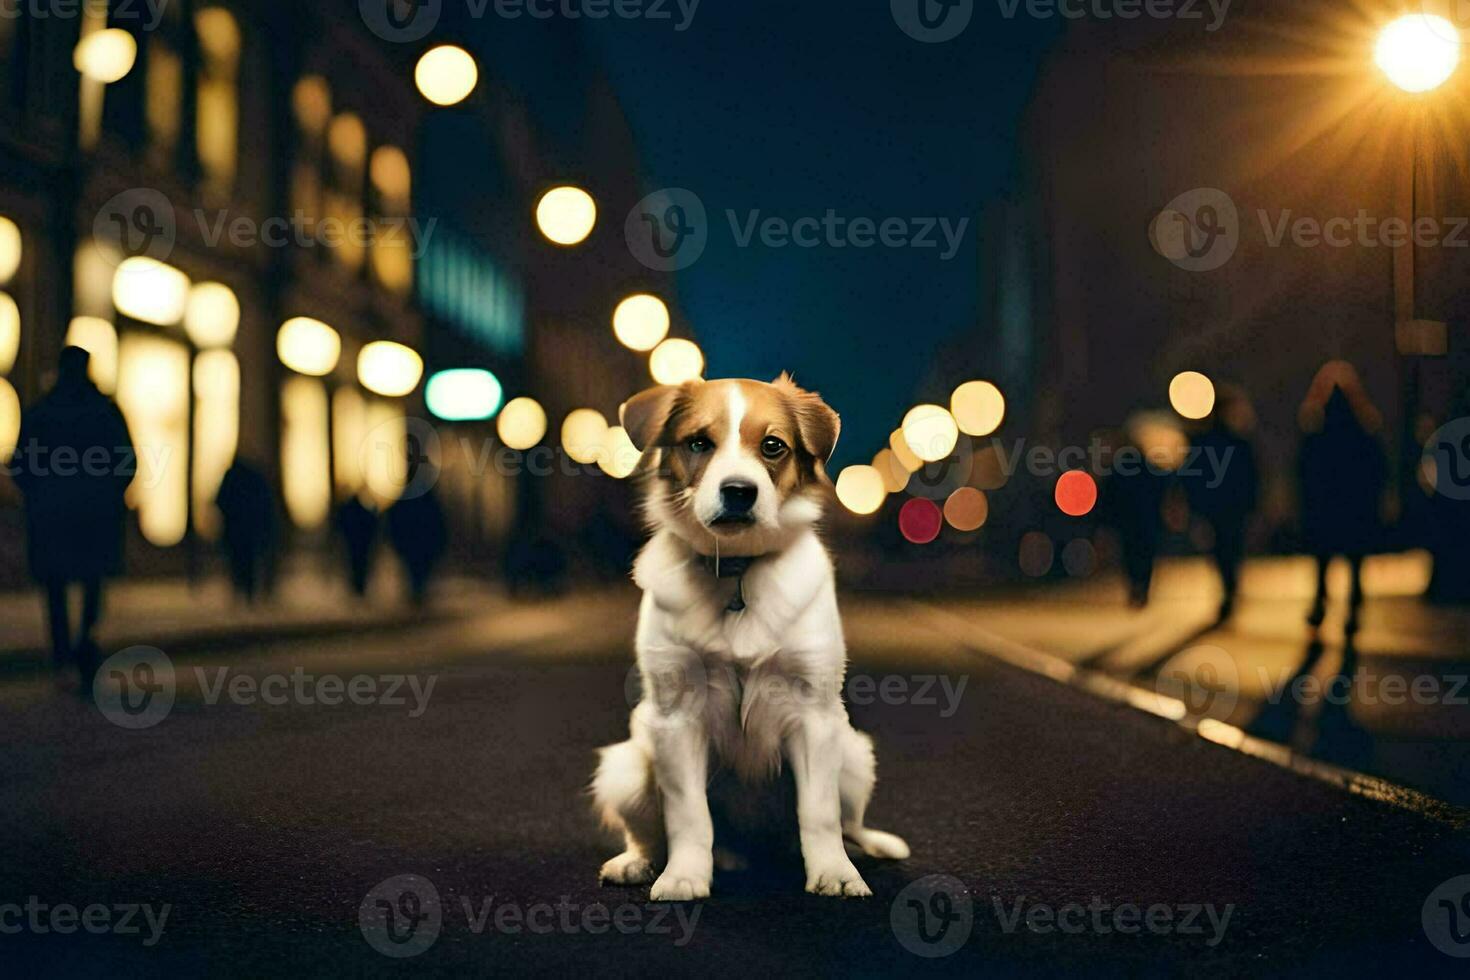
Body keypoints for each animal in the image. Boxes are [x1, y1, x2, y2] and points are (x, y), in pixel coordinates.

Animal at [590, 371, 899, 899]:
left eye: (773, 446)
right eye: (698, 442)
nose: (739, 491)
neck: (736, 570)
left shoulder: (815, 715)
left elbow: (818, 815)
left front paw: (834, 873)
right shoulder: (676, 718)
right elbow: (689, 817)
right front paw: (684, 876)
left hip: (855, 756)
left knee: (847, 825)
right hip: (626, 767)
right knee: (650, 833)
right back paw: (641, 862)